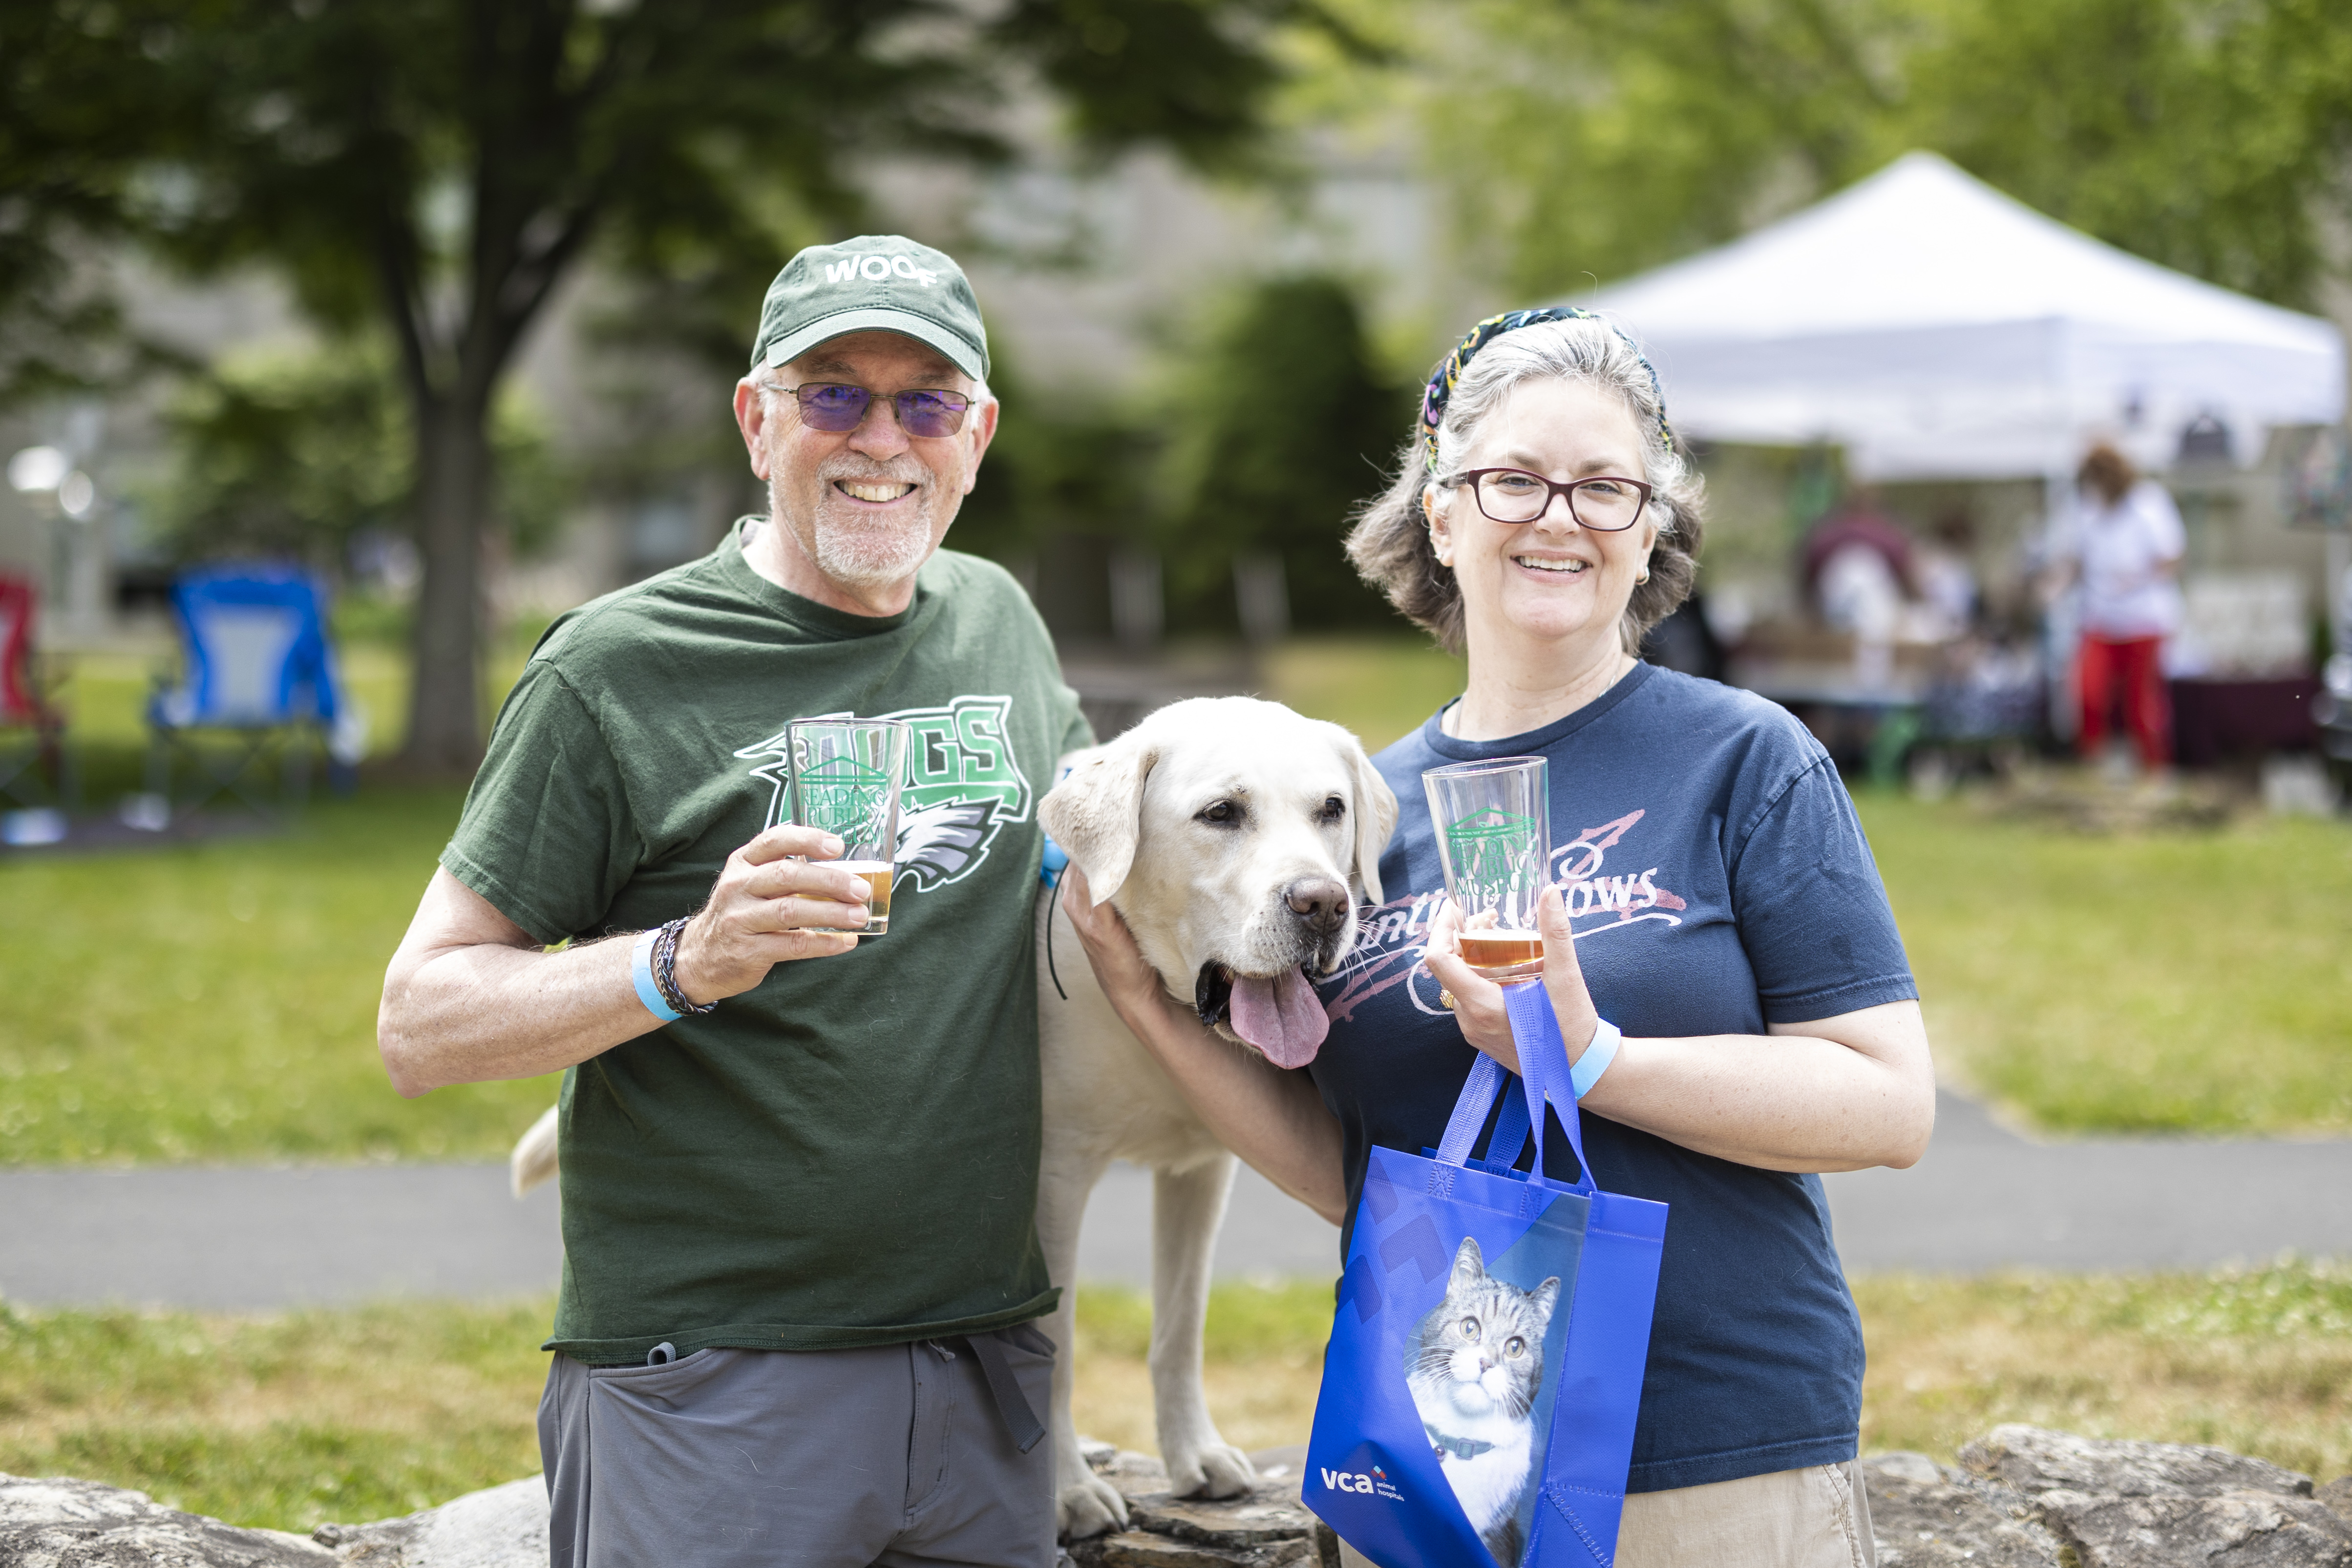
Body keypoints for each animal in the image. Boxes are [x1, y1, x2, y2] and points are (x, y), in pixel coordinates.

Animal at [515, 700, 1392, 1542]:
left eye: (1331, 810)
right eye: (1220, 813)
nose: (1322, 904)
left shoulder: (1200, 1171)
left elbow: (1179, 1328)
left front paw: (1194, 1456)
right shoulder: (1053, 1181)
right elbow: (1057, 1346)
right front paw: (1066, 1493)